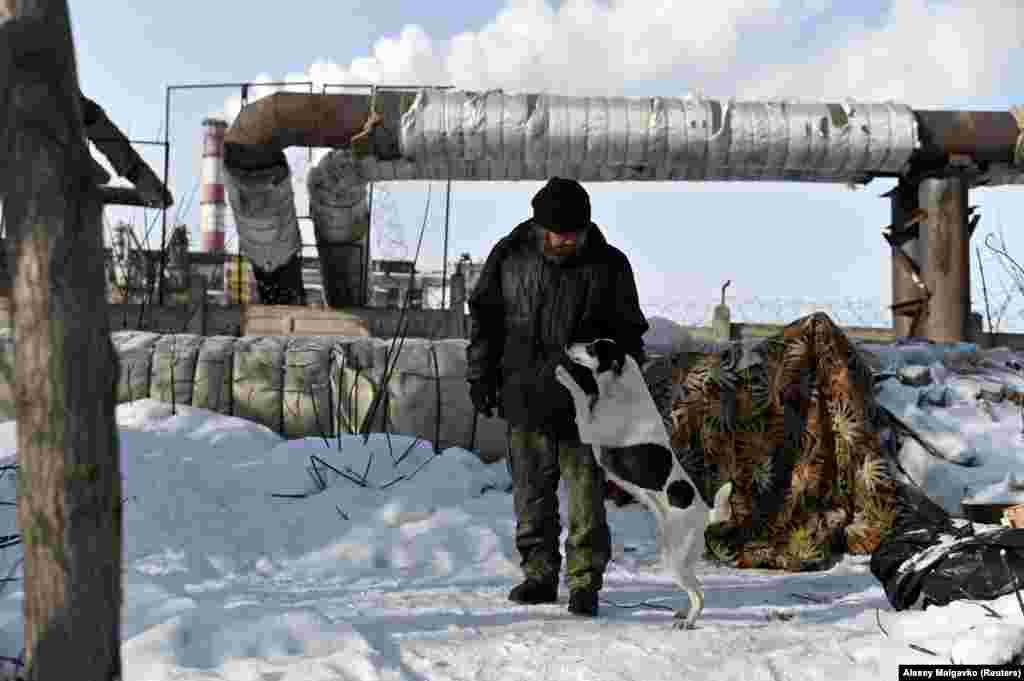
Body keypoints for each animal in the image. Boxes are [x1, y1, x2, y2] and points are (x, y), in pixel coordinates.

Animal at [557, 337, 733, 630]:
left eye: (593, 347)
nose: (569, 344)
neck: (619, 388)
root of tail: (705, 514)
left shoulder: (588, 429)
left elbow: (580, 396)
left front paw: (563, 375)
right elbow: (587, 397)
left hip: (674, 559)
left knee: (698, 595)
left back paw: (689, 621)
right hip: (679, 557)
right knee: (696, 589)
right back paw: (683, 614)